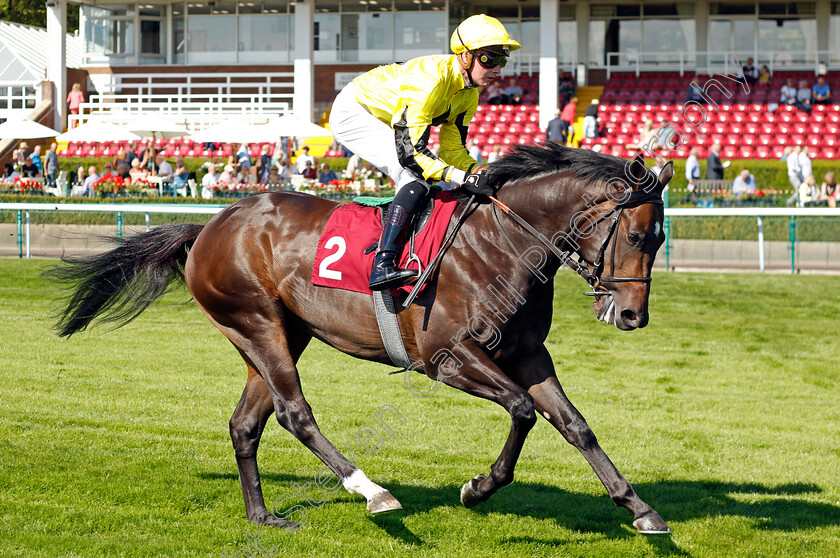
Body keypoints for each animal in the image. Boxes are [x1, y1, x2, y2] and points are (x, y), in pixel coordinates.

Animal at [46, 145, 676, 540]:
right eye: (637, 235)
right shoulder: (448, 358)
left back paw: (263, 516)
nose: (632, 315)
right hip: (257, 322)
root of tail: (209, 226)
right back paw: (370, 490)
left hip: (277, 333)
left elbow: (575, 424)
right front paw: (478, 487)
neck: (502, 243)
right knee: (294, 412)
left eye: (661, 237)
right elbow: (522, 410)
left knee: (246, 422)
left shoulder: (527, 354)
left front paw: (640, 508)